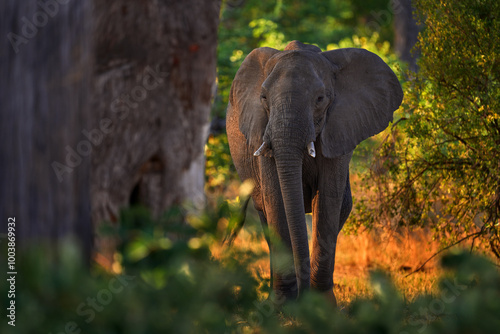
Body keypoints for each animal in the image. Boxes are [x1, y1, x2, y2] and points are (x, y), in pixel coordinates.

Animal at [226, 40, 402, 304]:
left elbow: (328, 199)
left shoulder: (339, 128)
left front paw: (321, 306)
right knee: (265, 215)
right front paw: (282, 305)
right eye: (264, 97)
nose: (303, 296)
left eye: (320, 99)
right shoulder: (261, 129)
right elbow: (275, 199)